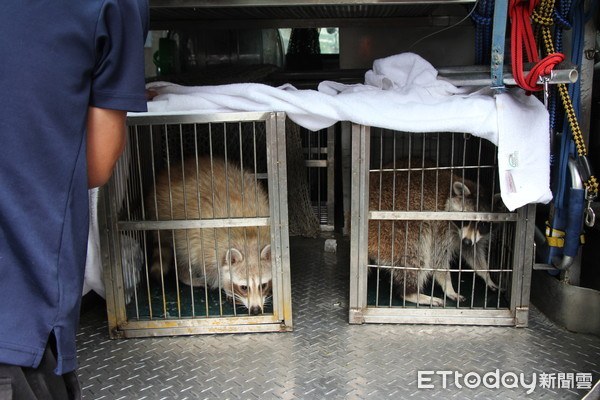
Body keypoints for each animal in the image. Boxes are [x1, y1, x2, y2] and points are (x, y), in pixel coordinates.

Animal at [147, 157, 272, 316]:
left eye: (263, 285)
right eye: (244, 287)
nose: (256, 310)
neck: (248, 237)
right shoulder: (207, 244)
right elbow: (210, 268)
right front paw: (226, 288)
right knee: (184, 254)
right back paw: (186, 276)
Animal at [368, 159, 500, 306]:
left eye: (483, 224)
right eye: (465, 220)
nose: (466, 241)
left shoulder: (473, 236)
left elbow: (473, 252)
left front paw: (486, 275)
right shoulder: (441, 226)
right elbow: (437, 257)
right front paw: (448, 286)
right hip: (393, 229)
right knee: (417, 251)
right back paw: (410, 293)